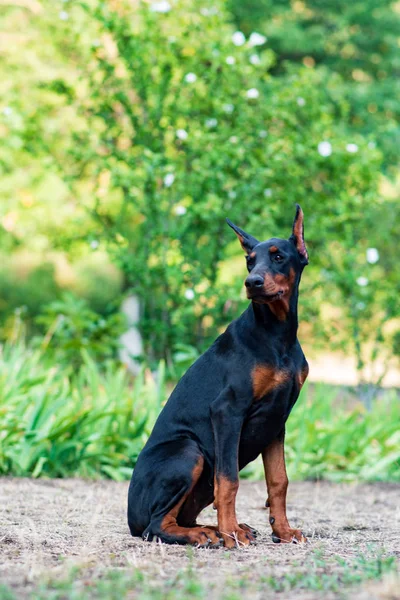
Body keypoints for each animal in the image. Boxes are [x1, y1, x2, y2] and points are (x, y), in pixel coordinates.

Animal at [128, 205, 310, 548]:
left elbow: (278, 480)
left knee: (179, 517)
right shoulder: (227, 411)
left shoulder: (277, 419)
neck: (276, 335)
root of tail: (131, 518)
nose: (252, 282)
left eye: (279, 257)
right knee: (155, 526)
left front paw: (282, 531)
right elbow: (228, 480)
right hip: (189, 450)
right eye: (250, 259)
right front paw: (230, 534)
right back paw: (209, 533)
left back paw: (215, 529)